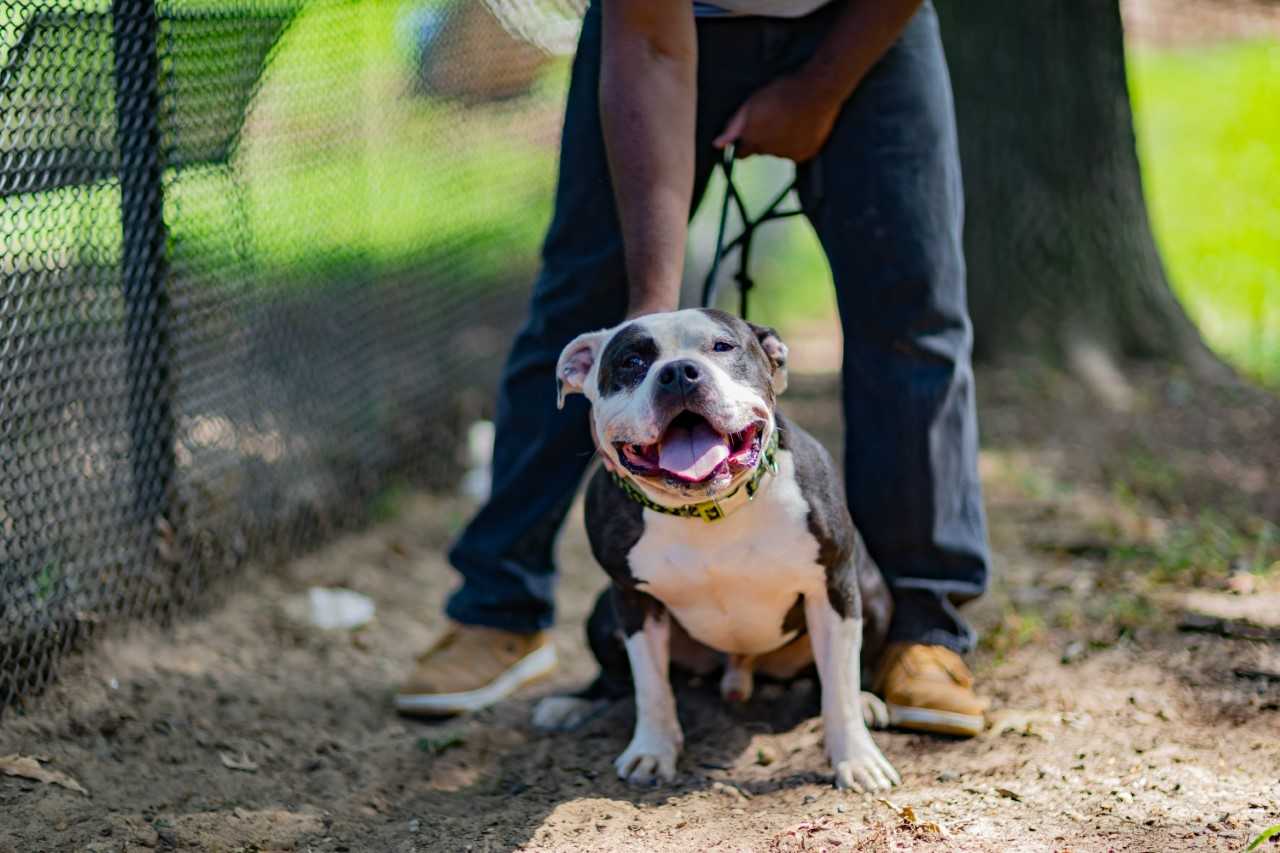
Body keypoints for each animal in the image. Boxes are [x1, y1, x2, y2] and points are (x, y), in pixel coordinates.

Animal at [529, 307, 901, 788]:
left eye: (723, 347)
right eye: (632, 362)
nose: (678, 373)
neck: (707, 509)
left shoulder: (832, 586)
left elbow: (839, 685)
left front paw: (856, 758)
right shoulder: (632, 599)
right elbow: (650, 686)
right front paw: (653, 751)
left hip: (871, 592)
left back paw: (869, 699)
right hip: (602, 614)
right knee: (619, 681)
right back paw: (574, 703)